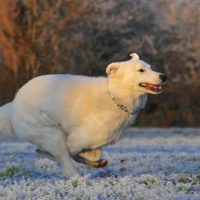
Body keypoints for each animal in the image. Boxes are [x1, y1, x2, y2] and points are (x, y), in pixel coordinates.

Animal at [0, 53, 167, 178]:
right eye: (141, 70)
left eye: (151, 68)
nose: (164, 76)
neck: (115, 96)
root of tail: (13, 105)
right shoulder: (76, 139)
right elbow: (68, 154)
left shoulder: (93, 143)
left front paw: (97, 163)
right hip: (53, 135)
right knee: (65, 164)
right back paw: (79, 180)